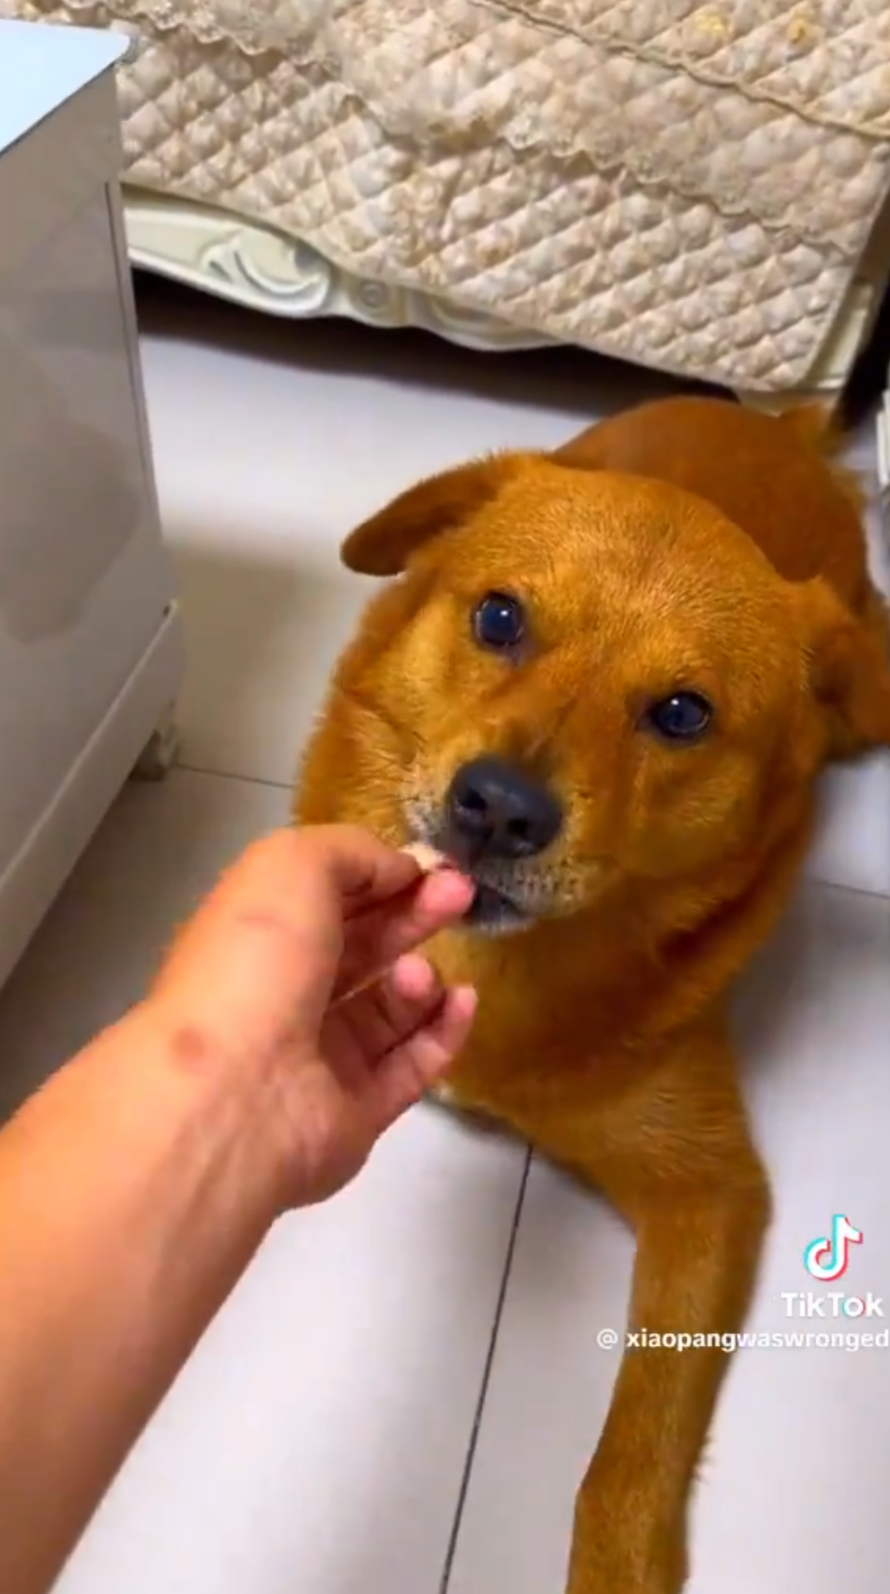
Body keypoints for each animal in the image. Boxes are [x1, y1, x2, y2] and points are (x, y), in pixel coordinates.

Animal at [296, 392, 890, 1587]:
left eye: (680, 713)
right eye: (498, 618)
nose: (495, 808)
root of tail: (783, 430)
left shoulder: (710, 1196)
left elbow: (631, 1449)